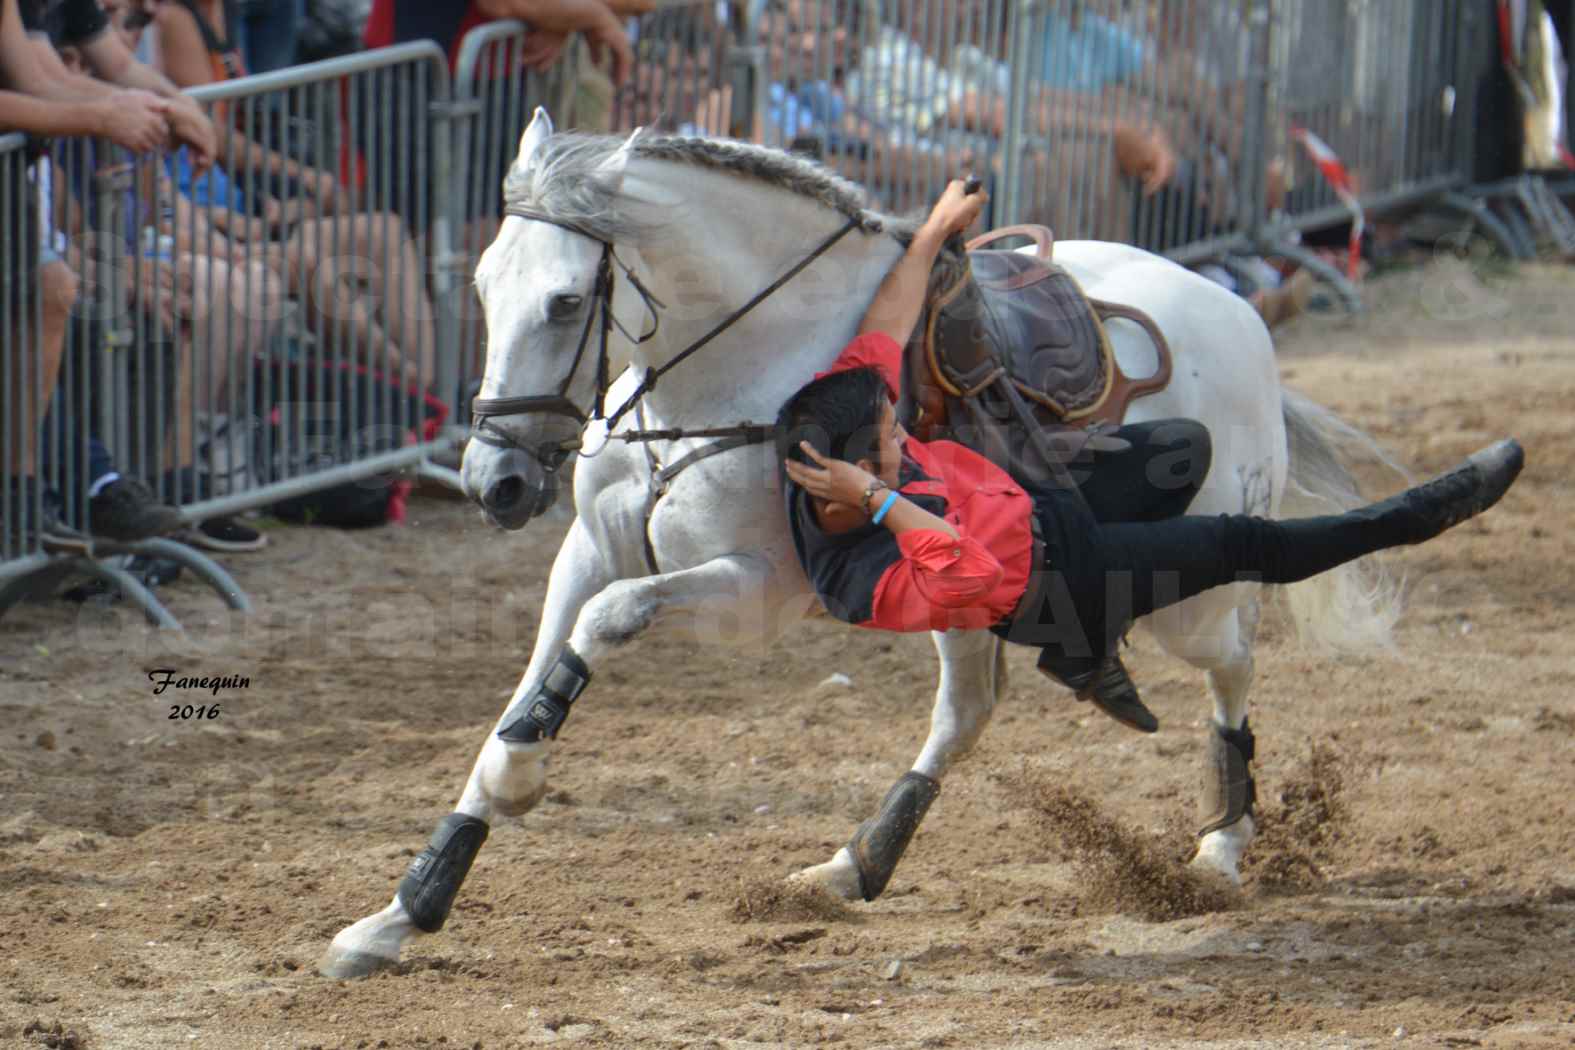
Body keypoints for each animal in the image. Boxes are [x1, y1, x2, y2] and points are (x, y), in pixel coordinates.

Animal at [316, 113, 1392, 976]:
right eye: (482, 285)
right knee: (968, 711)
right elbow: (525, 698)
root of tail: (1240, 315)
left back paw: (1220, 844)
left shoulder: (754, 591)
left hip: (1186, 602)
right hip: (975, 597)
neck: (730, 371)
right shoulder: (585, 553)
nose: (493, 481)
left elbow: (606, 626)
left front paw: (517, 789)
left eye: (566, 303)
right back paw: (853, 865)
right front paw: (401, 912)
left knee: (1233, 666)